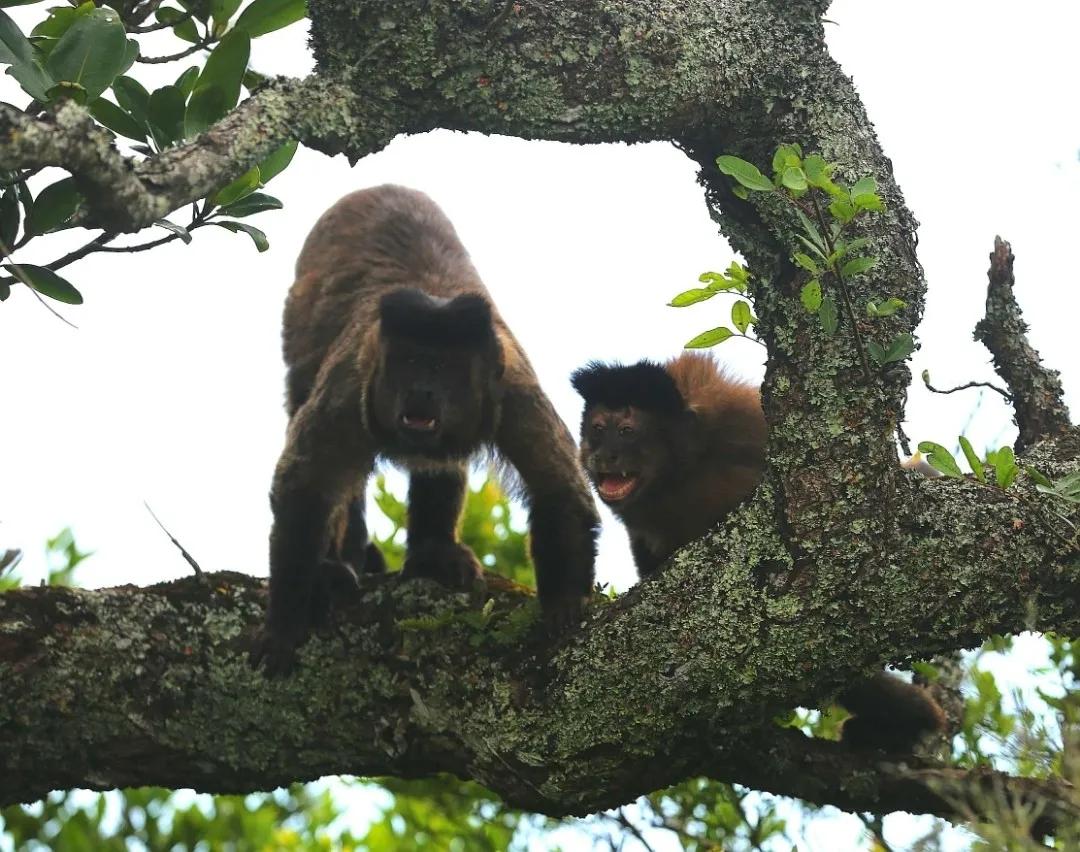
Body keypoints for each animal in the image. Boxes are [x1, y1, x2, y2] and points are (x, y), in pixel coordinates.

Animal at [251, 184, 600, 669]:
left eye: (443, 368)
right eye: (412, 361)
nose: (422, 390)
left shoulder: (512, 389)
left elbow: (560, 491)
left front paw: (564, 603)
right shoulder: (352, 382)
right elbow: (304, 486)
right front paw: (286, 620)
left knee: (441, 464)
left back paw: (434, 552)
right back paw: (338, 565)